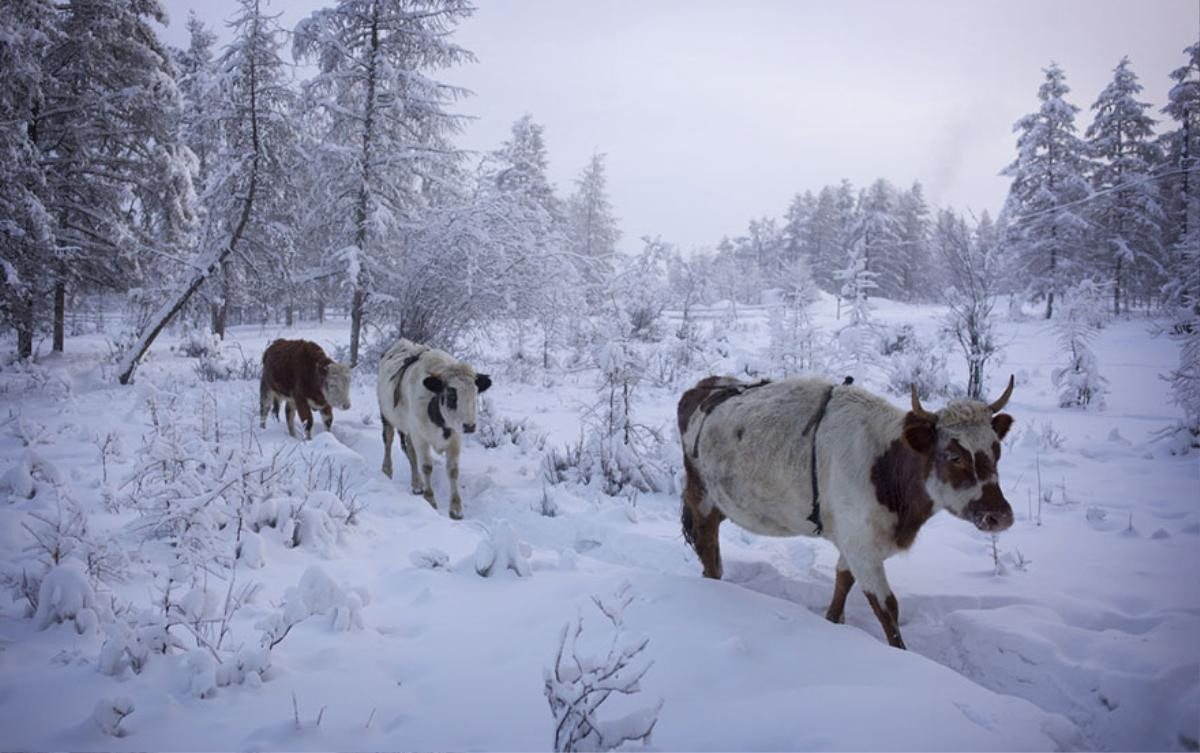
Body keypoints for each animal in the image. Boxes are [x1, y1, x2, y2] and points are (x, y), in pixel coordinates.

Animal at [372, 340, 489, 520]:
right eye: (451, 395)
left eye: (475, 394)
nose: (470, 426)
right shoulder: (420, 437)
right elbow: (427, 466)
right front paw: (430, 499)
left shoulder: (455, 438)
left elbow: (453, 470)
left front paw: (456, 509)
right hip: (386, 415)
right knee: (389, 440)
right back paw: (387, 470)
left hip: (409, 428)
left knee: (410, 451)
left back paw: (417, 484)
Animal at [676, 374, 1012, 647]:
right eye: (953, 455)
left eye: (996, 450)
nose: (1000, 515)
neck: (885, 466)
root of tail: (705, 386)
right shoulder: (862, 544)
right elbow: (887, 608)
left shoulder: (854, 540)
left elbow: (842, 583)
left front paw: (833, 623)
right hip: (702, 496)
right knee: (707, 546)